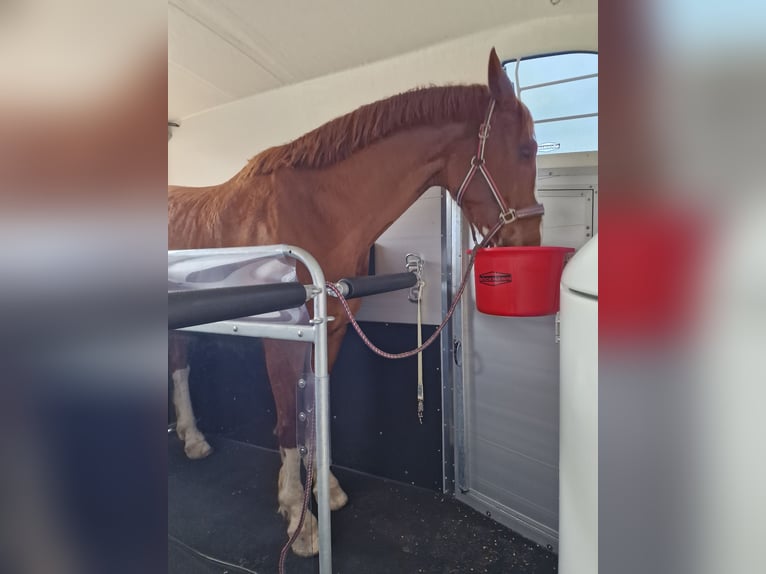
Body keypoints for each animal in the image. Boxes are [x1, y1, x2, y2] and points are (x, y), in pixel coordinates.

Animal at [170, 50, 540, 560]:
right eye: (527, 149)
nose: (531, 240)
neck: (314, 209)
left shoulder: (333, 331)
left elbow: (315, 412)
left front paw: (324, 488)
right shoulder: (283, 337)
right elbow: (288, 420)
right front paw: (299, 518)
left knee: (179, 364)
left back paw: (193, 439)